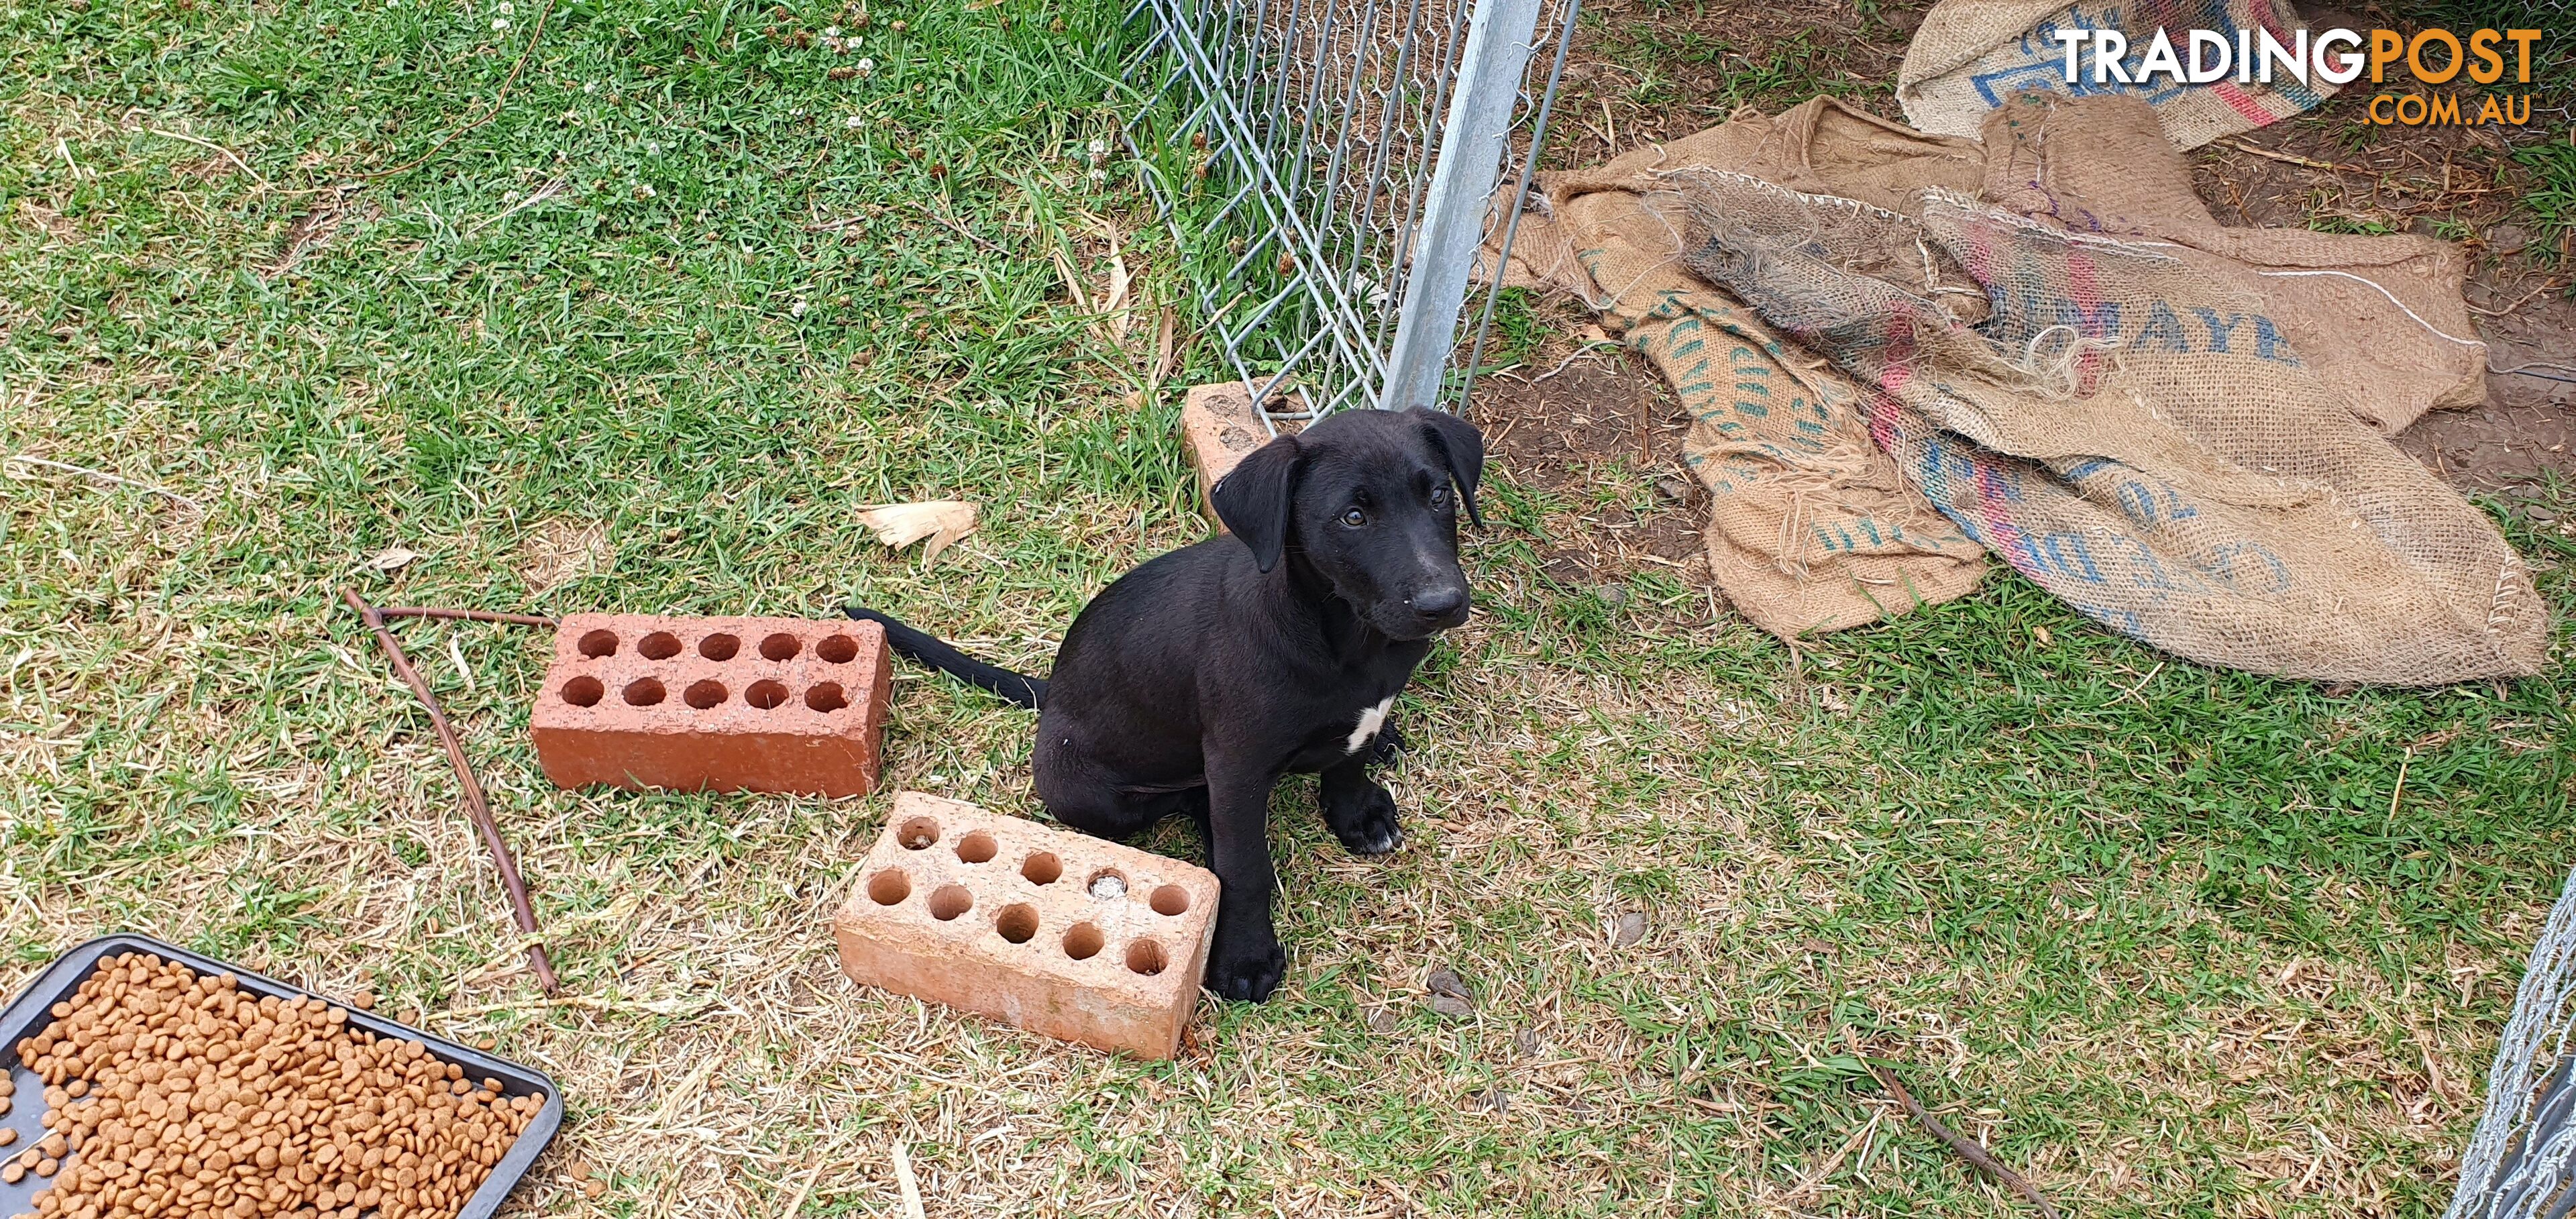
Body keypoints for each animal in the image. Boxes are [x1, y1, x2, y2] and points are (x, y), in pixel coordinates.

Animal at [850, 407, 1483, 1000]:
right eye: (1354, 517)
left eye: (1439, 495)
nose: (1444, 602)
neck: (1347, 639)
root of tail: (1053, 692)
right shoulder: (1236, 763)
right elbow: (1246, 866)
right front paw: (1246, 957)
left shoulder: (1366, 707)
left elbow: (1350, 759)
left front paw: (1357, 812)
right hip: (1087, 791)